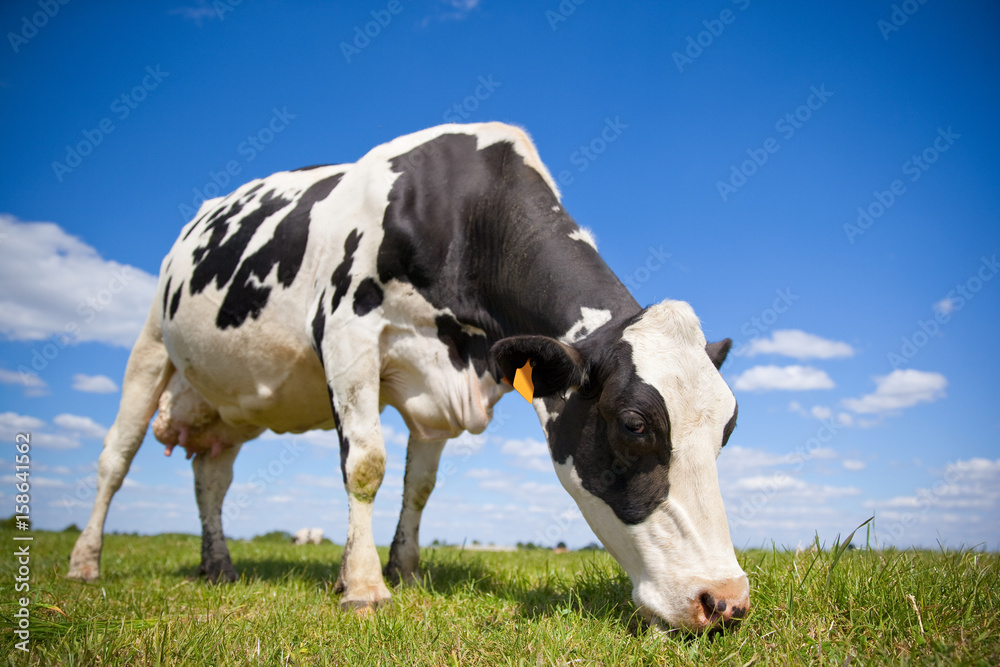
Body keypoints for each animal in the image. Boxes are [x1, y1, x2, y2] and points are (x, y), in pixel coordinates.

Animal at [66, 124, 748, 632]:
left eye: (727, 431)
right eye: (633, 425)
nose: (726, 601)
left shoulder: (444, 385)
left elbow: (419, 487)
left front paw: (406, 570)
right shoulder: (348, 332)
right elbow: (366, 464)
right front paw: (364, 588)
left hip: (229, 402)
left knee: (212, 478)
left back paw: (219, 567)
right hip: (151, 343)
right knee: (115, 457)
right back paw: (85, 564)